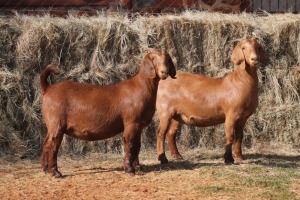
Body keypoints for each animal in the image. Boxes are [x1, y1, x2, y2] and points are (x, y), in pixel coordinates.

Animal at [39, 49, 176, 177]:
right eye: (153, 58)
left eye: (167, 59)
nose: (164, 72)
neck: (142, 86)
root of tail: (48, 88)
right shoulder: (131, 122)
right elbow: (129, 144)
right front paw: (129, 169)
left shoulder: (139, 125)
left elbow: (137, 145)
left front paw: (137, 167)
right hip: (56, 123)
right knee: (52, 144)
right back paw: (55, 172)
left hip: (51, 124)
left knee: (46, 142)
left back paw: (45, 169)